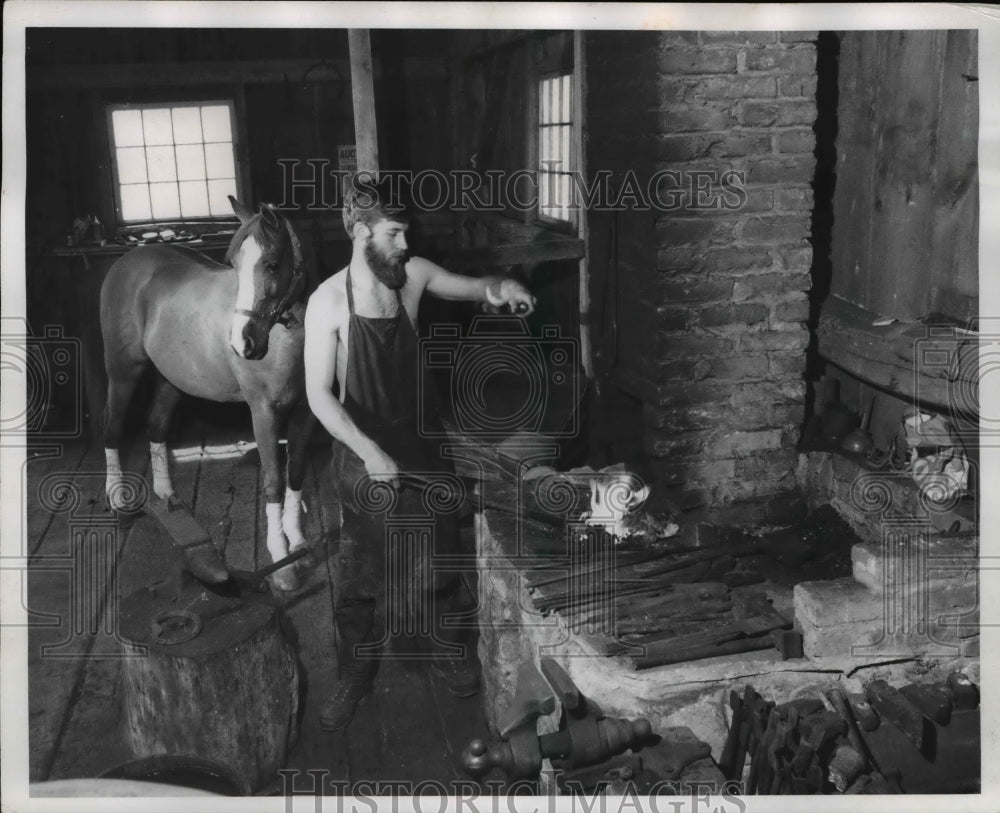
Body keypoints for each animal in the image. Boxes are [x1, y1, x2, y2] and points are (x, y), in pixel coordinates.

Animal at [101, 197, 312, 588]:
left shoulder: (306, 413)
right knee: (112, 427)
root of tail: (128, 261)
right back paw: (117, 499)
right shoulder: (264, 413)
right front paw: (283, 561)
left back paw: (168, 497)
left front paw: (300, 543)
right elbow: (274, 482)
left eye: (273, 264)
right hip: (123, 371)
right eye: (234, 264)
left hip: (171, 379)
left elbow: (297, 473)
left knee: (156, 425)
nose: (242, 344)